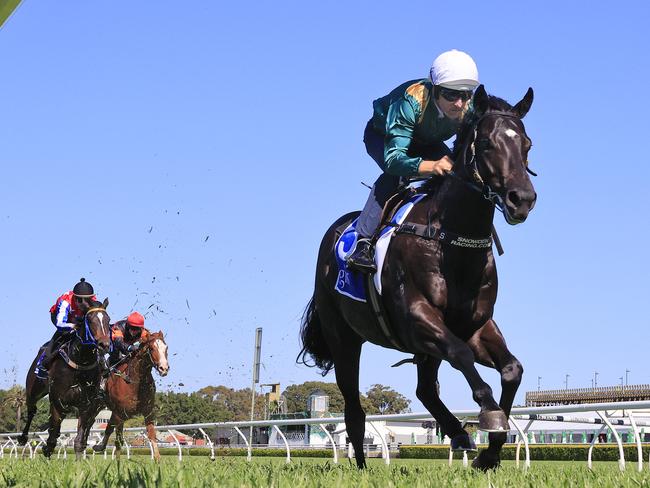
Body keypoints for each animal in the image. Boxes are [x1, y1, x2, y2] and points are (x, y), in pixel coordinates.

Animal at [17, 300, 111, 460]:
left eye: (108, 320)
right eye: (90, 320)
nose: (104, 345)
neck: (80, 362)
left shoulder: (87, 404)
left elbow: (79, 437)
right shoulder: (57, 399)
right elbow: (53, 433)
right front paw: (47, 450)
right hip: (33, 390)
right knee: (32, 411)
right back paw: (23, 438)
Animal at [93, 330, 171, 460]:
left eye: (166, 347)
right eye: (151, 348)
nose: (163, 368)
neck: (135, 382)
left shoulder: (147, 412)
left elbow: (152, 434)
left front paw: (157, 460)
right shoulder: (119, 414)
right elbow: (116, 437)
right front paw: (117, 462)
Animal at [296, 86, 536, 470]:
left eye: (527, 144)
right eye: (487, 143)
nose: (522, 199)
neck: (451, 241)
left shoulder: (475, 325)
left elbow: (512, 369)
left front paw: (490, 452)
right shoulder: (417, 319)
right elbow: (462, 356)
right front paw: (489, 414)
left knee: (424, 388)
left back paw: (457, 433)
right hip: (343, 337)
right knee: (354, 409)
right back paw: (362, 466)